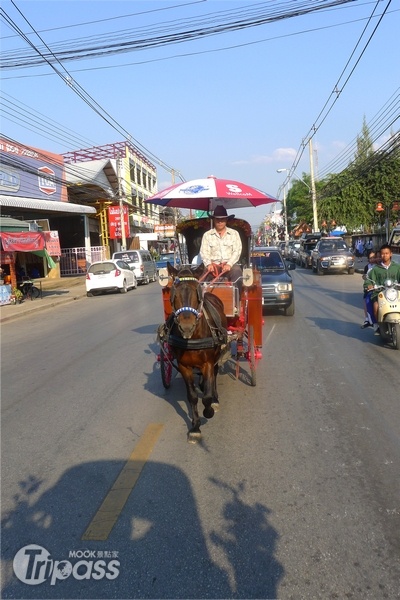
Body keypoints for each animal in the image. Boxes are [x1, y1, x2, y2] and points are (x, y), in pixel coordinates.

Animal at [162, 262, 228, 440]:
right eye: (173, 293)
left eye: (197, 293)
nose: (186, 326)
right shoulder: (184, 366)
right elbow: (192, 397)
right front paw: (195, 426)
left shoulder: (208, 363)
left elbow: (206, 397)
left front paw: (209, 411)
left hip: (217, 354)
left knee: (215, 374)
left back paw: (215, 398)